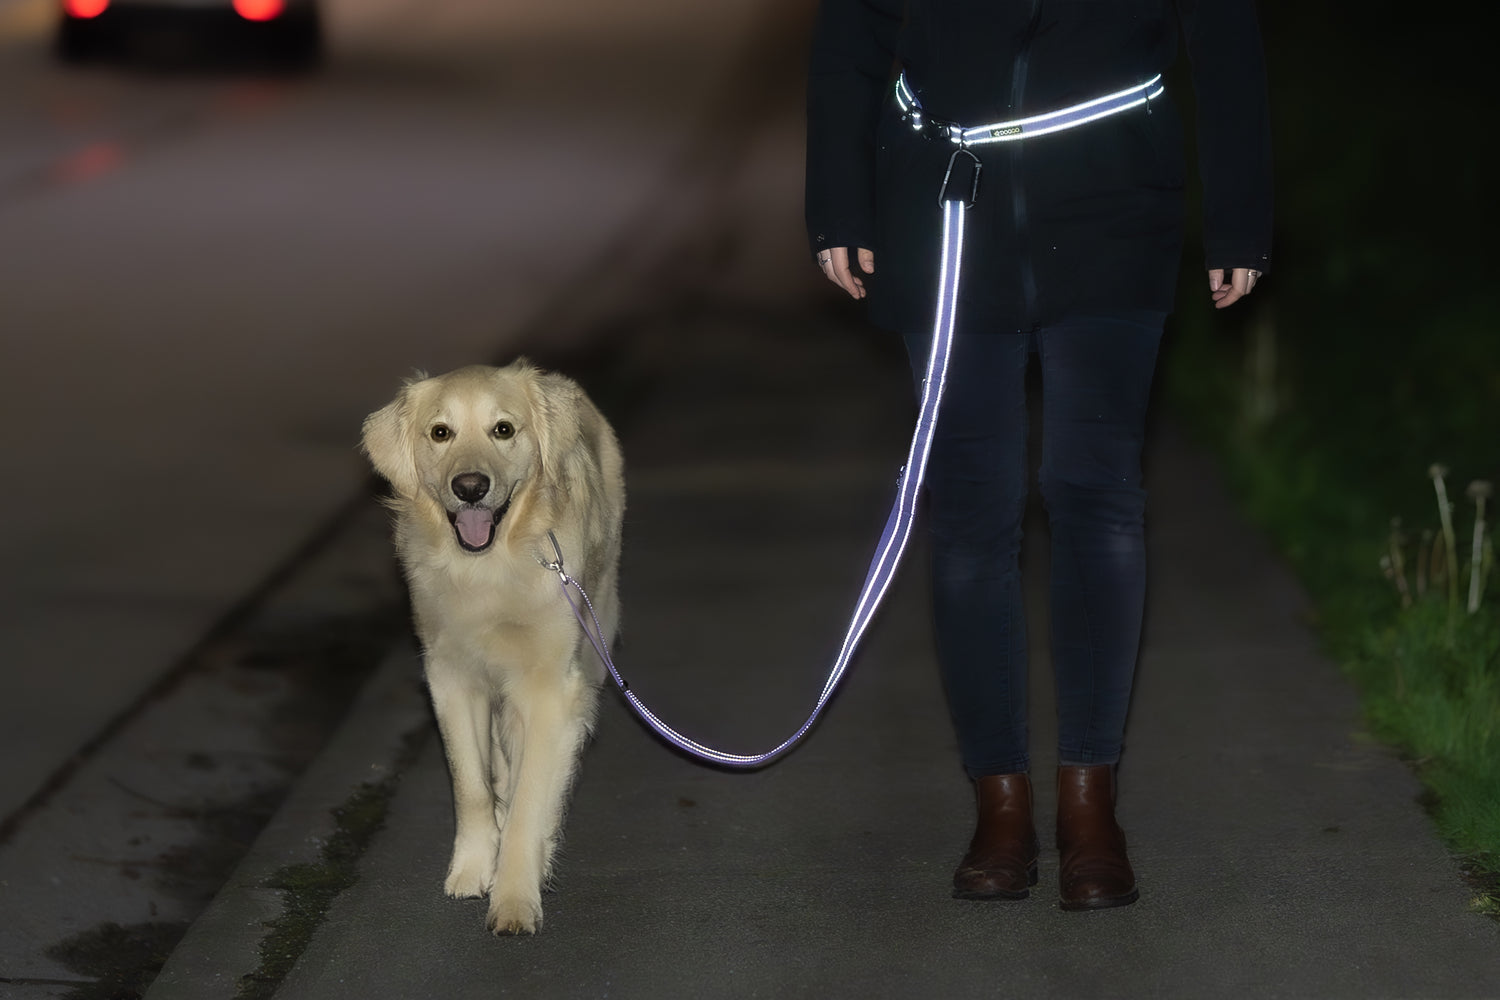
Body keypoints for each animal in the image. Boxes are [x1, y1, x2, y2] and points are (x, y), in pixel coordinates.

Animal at [360, 361, 624, 941]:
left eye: (503, 429)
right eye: (441, 433)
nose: (471, 487)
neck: (488, 568)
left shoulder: (551, 689)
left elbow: (529, 798)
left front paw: (515, 895)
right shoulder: (449, 676)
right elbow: (472, 785)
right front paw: (474, 866)